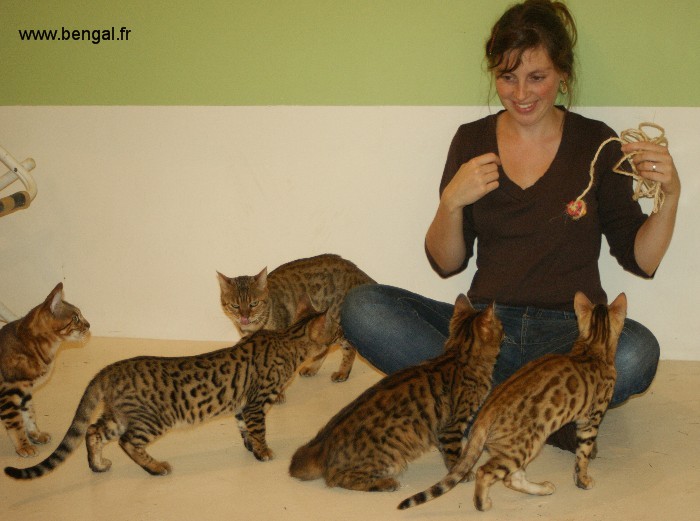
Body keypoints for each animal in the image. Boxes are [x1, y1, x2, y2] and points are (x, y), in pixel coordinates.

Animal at [0, 283, 90, 457]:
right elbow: (16, 424)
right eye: (76, 318)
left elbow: (29, 415)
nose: (89, 325)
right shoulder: (8, 394)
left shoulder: (25, 392)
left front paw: (35, 435)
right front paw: (23, 446)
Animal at [4, 296, 332, 480]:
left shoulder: (242, 407)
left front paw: (251, 448)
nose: (337, 338)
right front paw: (263, 451)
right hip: (152, 419)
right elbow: (258, 430)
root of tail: (109, 369)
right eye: (331, 332)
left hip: (120, 415)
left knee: (93, 430)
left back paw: (97, 465)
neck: (287, 340)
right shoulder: (255, 403)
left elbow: (244, 431)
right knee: (127, 442)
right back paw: (156, 467)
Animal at [217, 253, 374, 383]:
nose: (244, 316)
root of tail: (359, 273)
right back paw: (313, 368)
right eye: (235, 306)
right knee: (325, 348)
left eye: (253, 304)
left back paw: (343, 372)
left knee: (350, 347)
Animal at [288, 294, 503, 492]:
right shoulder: (453, 425)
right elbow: (455, 455)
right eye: (501, 326)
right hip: (389, 457)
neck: (460, 354)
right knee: (338, 478)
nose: (505, 332)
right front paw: (462, 472)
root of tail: (323, 443)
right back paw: (385, 483)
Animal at [398, 291, 627, 512]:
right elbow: (583, 457)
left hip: (516, 448)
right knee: (486, 472)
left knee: (511, 478)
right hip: (525, 446)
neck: (593, 347)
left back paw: (542, 489)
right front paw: (583, 481)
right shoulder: (591, 421)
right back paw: (482, 504)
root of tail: (487, 410)